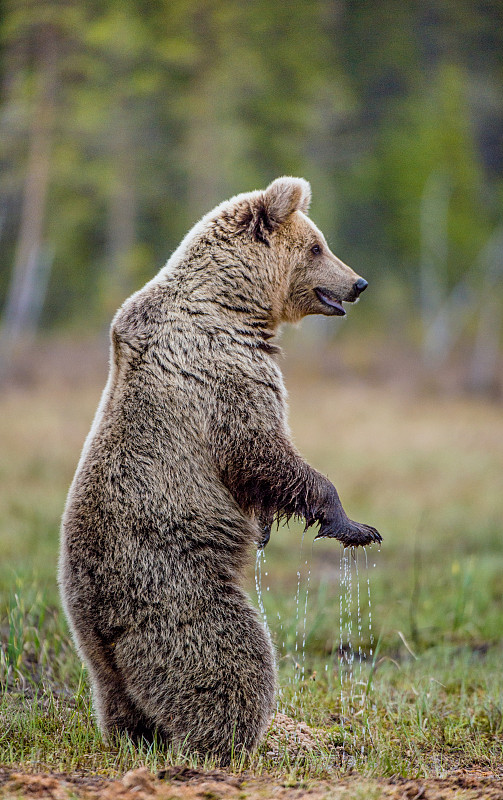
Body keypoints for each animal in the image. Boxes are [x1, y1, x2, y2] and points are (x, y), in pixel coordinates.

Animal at [60, 178, 382, 764]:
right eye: (317, 247)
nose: (358, 283)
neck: (234, 302)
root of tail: (98, 621)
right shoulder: (223, 370)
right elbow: (261, 449)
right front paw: (353, 525)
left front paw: (269, 526)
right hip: (173, 586)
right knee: (230, 658)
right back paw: (231, 741)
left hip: (99, 652)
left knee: (118, 698)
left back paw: (138, 736)